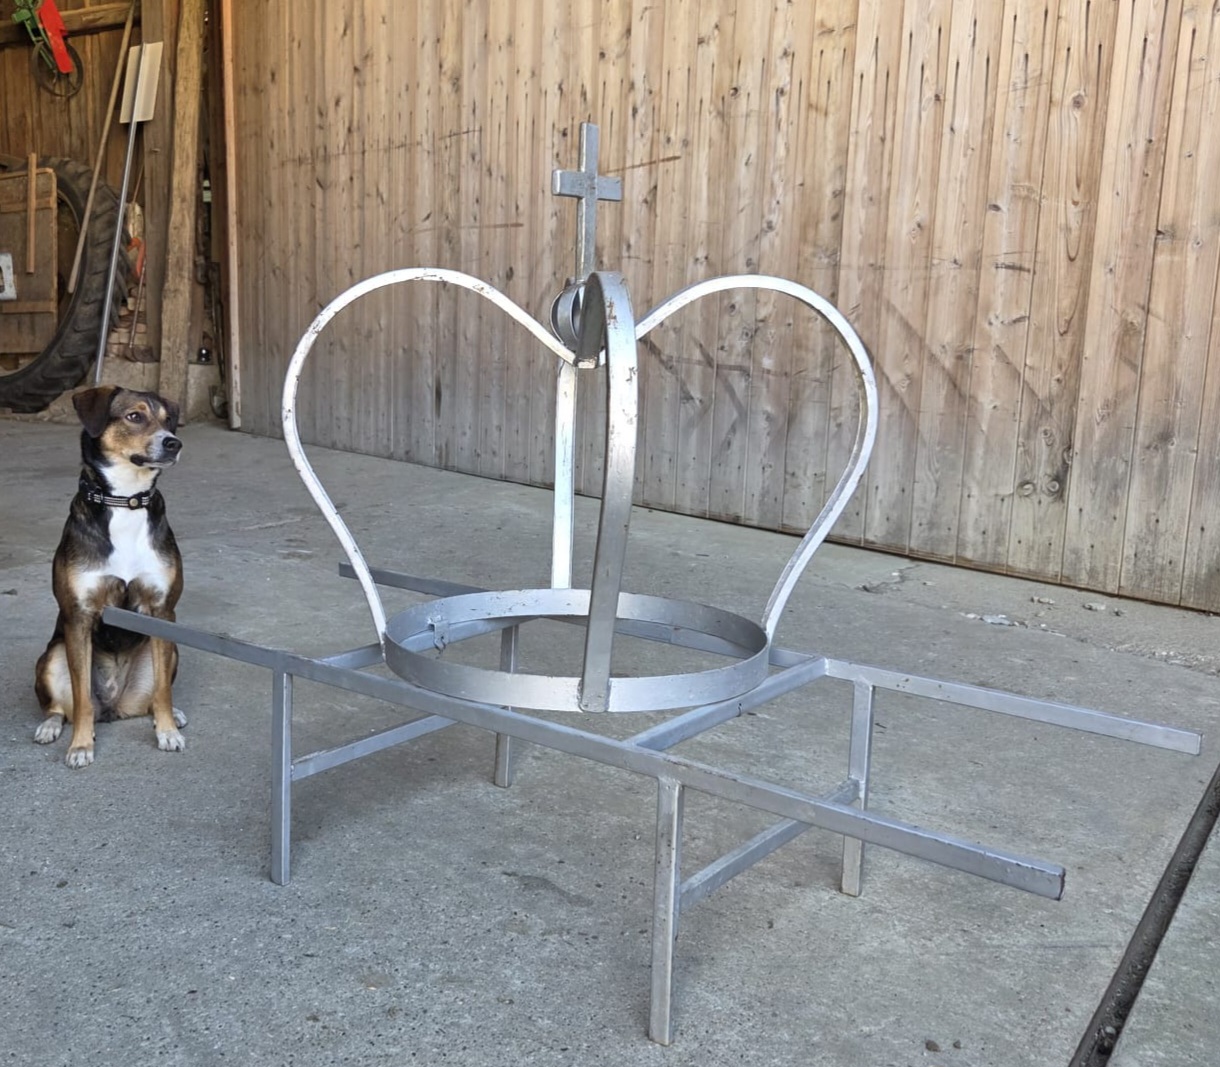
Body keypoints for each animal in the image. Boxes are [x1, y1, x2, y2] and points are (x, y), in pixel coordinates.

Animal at [34, 385, 186, 768]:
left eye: (168, 420)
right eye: (134, 416)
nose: (173, 443)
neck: (124, 501)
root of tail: (115, 705)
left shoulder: (163, 611)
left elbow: (163, 690)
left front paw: (167, 731)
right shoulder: (79, 616)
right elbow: (82, 698)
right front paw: (80, 746)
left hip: (173, 649)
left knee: (155, 694)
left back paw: (171, 715)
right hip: (53, 656)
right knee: (60, 706)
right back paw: (50, 726)